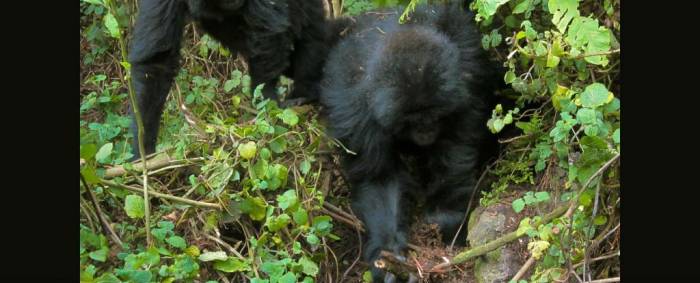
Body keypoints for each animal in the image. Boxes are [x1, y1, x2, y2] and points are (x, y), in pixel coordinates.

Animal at [129, 0, 328, 159]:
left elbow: (267, 30)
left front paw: (267, 100)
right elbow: (157, 62)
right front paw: (143, 149)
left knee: (310, 32)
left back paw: (306, 91)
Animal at [320, 3, 500, 282]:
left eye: (434, 115)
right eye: (412, 120)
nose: (426, 131)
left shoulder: (464, 82)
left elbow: (454, 153)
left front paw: (445, 219)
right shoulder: (357, 111)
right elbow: (379, 178)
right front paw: (387, 250)